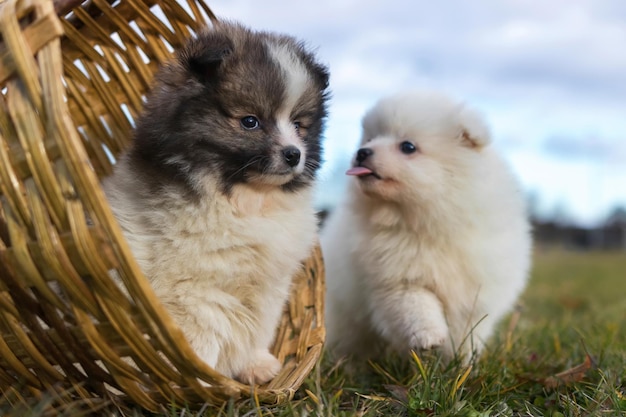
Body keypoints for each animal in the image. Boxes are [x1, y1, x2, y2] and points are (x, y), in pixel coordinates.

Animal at [103, 21, 326, 382]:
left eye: (298, 125)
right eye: (250, 121)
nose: (294, 154)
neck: (246, 201)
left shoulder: (269, 286)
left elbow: (257, 327)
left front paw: (256, 365)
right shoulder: (194, 292)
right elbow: (207, 333)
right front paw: (202, 379)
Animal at [322, 90, 532, 360]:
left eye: (408, 147)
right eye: (370, 138)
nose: (362, 152)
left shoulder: (476, 292)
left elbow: (467, 332)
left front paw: (463, 361)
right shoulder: (397, 279)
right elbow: (417, 305)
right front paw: (428, 336)